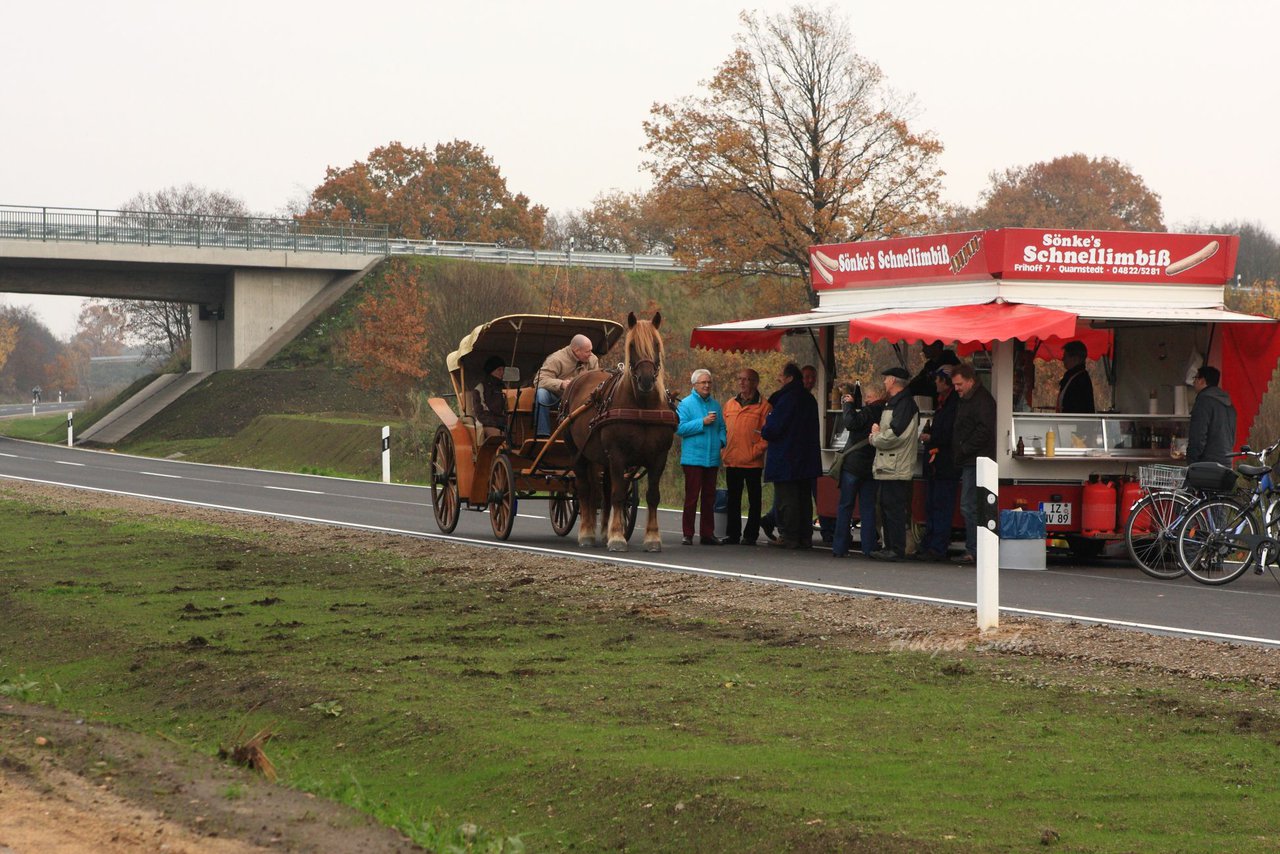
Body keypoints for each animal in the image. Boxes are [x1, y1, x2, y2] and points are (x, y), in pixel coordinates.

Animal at [563, 311, 675, 550]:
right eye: (632, 345)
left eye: (656, 344)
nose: (646, 380)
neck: (643, 407)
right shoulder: (618, 455)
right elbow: (618, 494)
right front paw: (617, 537)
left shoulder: (659, 457)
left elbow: (652, 496)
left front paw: (652, 538)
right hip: (578, 453)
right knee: (585, 489)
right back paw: (586, 533)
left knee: (602, 491)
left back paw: (603, 531)